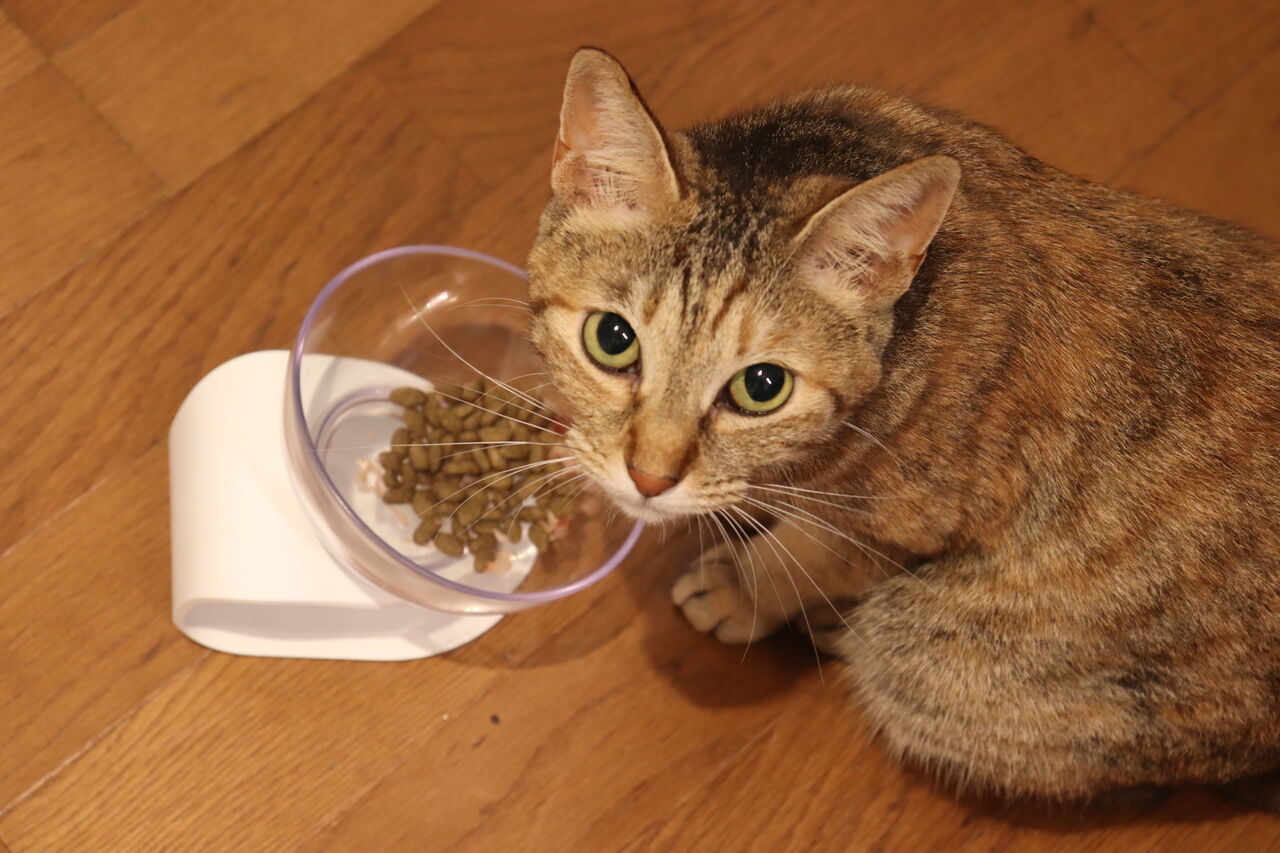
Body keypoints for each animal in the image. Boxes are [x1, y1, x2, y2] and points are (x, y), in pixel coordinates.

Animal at [525, 47, 1280, 808]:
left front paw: (743, 586)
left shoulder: (900, 521)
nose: (649, 477)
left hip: (924, 663)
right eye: (612, 339)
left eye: (762, 387)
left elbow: (800, 555)